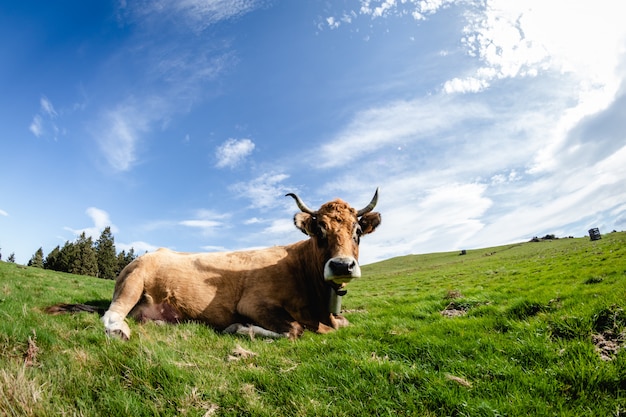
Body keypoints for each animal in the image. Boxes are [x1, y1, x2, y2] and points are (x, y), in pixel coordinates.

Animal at [46, 188, 378, 338]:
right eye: (319, 230)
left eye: (358, 232)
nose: (342, 265)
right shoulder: (254, 303)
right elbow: (293, 330)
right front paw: (240, 328)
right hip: (132, 282)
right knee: (111, 315)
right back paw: (119, 331)